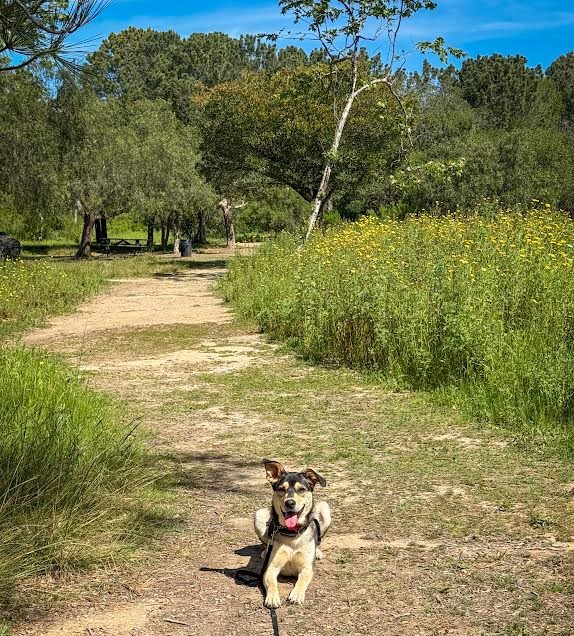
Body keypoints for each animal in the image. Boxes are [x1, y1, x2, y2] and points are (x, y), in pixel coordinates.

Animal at [253, 459, 331, 608]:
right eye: (281, 489)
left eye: (302, 489)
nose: (289, 503)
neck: (292, 534)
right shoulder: (271, 568)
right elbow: (271, 582)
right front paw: (272, 597)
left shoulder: (307, 568)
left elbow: (302, 580)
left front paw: (297, 595)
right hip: (258, 515)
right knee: (265, 542)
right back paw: (265, 551)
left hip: (326, 509)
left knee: (318, 539)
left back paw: (317, 552)